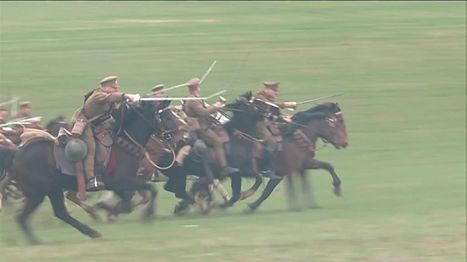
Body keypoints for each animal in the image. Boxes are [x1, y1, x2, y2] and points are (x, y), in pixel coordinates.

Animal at [9, 100, 177, 244]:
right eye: (167, 116)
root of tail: (17, 154)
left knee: (60, 213)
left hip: (53, 190)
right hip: (37, 193)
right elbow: (150, 190)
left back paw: (92, 231)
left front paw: (113, 211)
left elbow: (131, 201)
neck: (123, 144)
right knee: (22, 217)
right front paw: (147, 215)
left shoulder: (120, 186)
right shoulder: (123, 181)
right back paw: (35, 240)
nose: (178, 137)